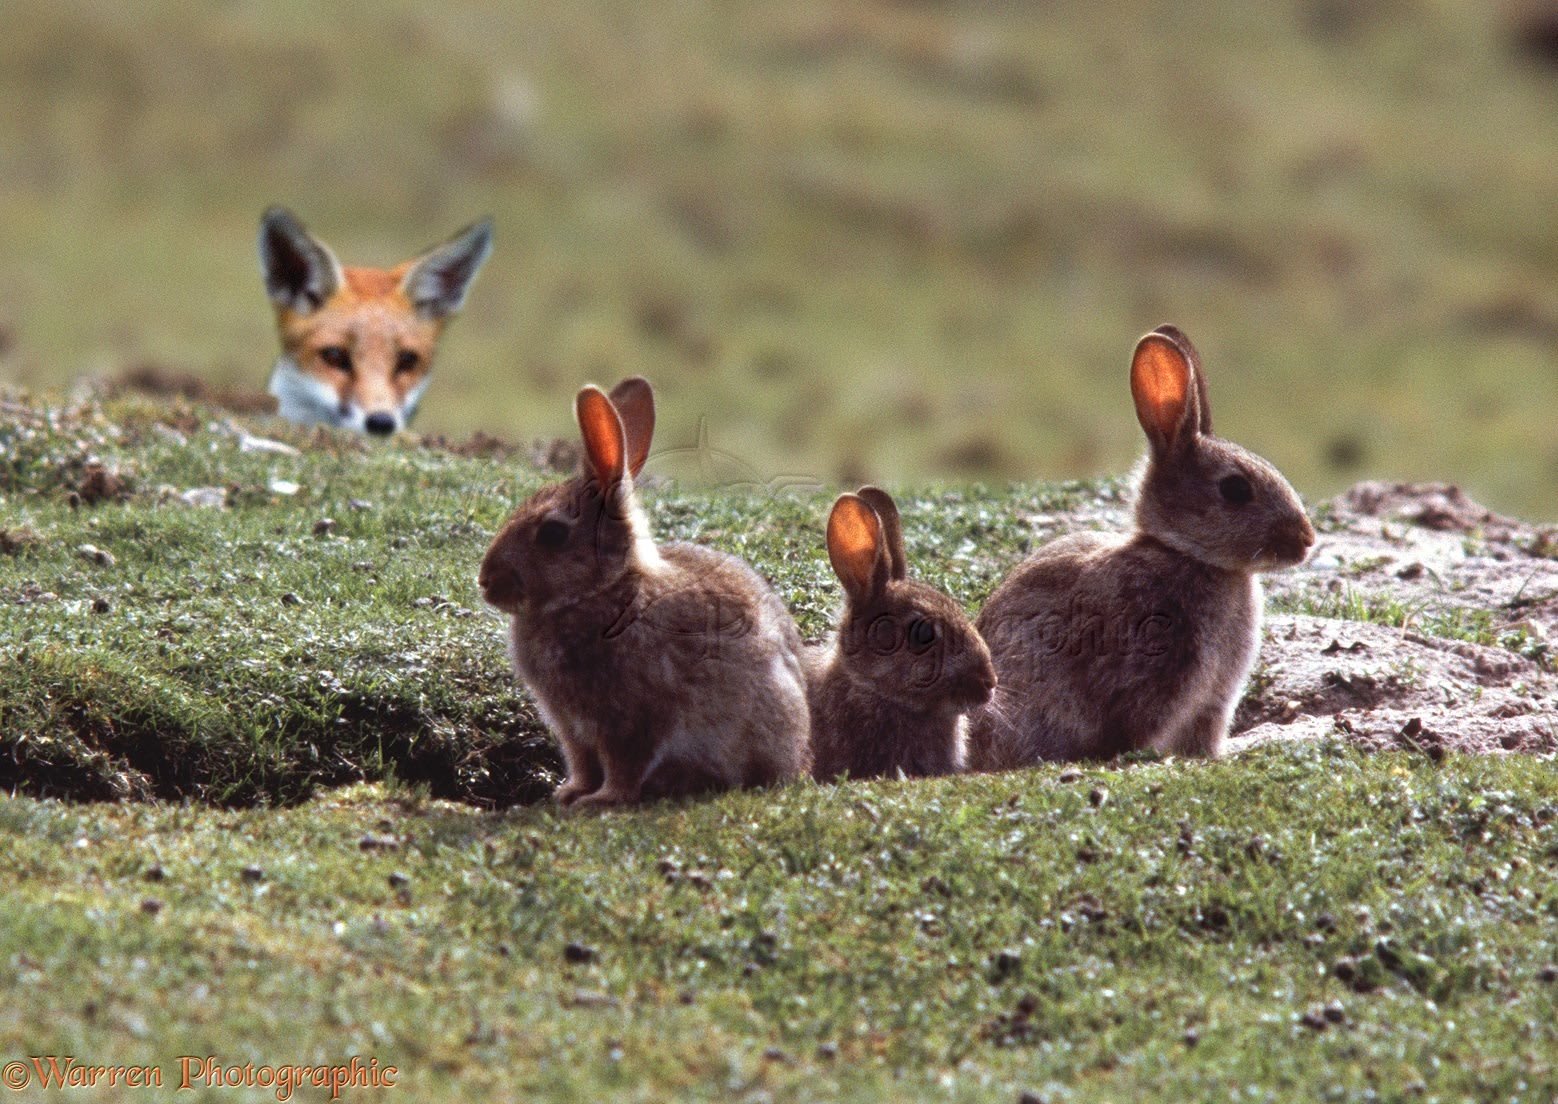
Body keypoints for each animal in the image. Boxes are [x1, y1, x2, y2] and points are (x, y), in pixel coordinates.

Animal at [473, 375, 816, 803]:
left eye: (552, 533)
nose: (485, 581)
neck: (600, 591)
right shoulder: (572, 728)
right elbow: (583, 763)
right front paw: (569, 794)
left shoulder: (630, 718)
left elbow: (624, 765)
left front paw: (600, 801)